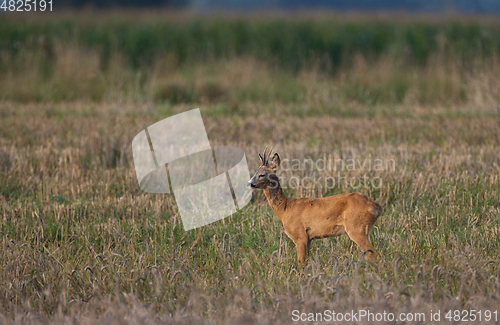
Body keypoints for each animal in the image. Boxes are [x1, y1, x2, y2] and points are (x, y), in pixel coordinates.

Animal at [246, 147, 382, 264]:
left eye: (262, 174)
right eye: (255, 172)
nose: (249, 183)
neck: (285, 209)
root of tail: (376, 207)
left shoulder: (300, 236)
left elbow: (300, 263)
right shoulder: (309, 239)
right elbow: (306, 262)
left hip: (357, 228)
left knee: (375, 255)